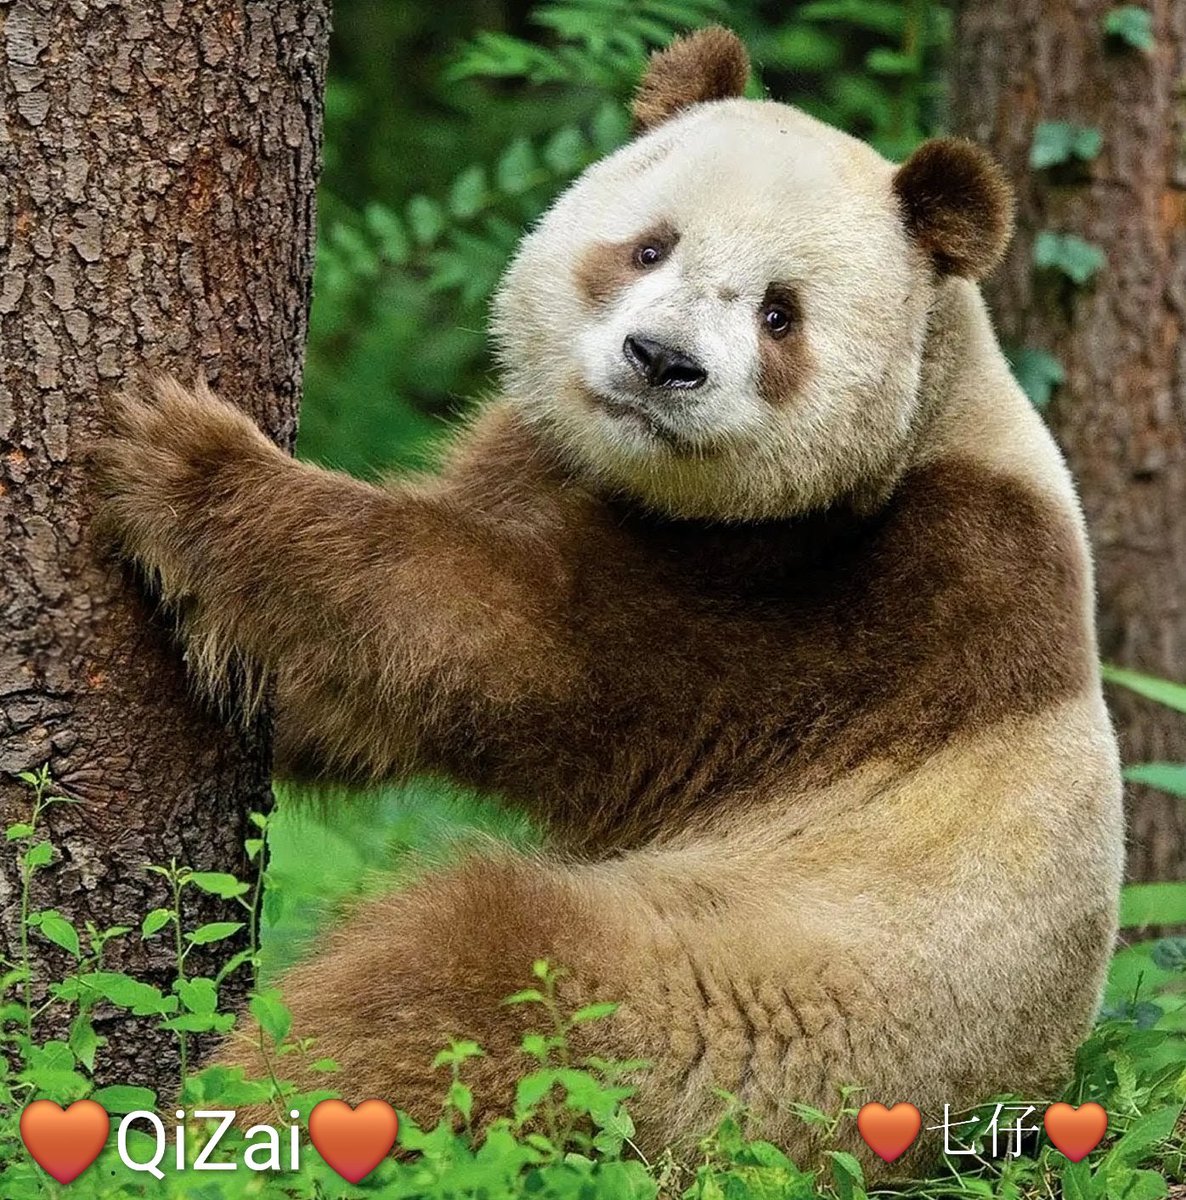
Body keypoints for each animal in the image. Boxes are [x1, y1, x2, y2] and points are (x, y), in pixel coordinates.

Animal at [97, 27, 1124, 1176]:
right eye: (650, 248)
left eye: (780, 314)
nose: (659, 361)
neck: (935, 408)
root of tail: (993, 1121)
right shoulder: (546, 459)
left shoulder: (870, 600)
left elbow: (516, 652)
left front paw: (184, 461)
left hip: (744, 1017)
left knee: (470, 983)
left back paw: (231, 1113)